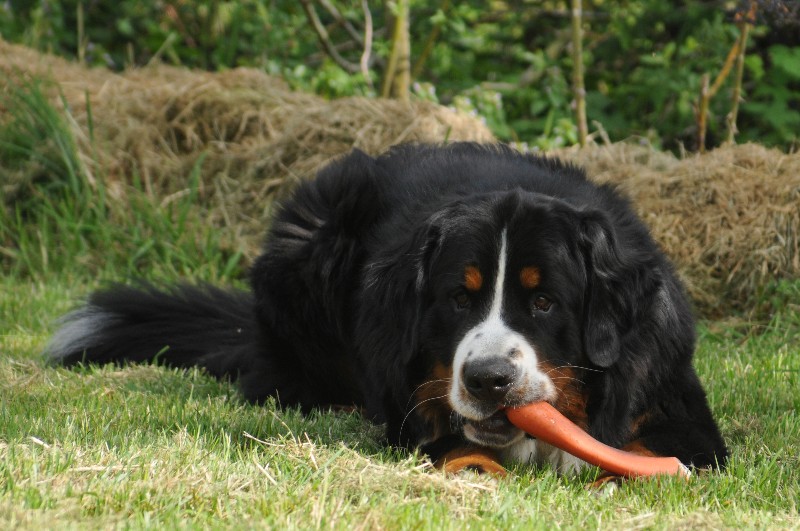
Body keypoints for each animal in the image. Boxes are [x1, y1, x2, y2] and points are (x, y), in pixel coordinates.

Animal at [47, 142, 728, 478]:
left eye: (543, 301)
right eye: (459, 297)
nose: (489, 380)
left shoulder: (676, 411)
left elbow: (646, 454)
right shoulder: (414, 402)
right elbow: (461, 450)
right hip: (311, 242)